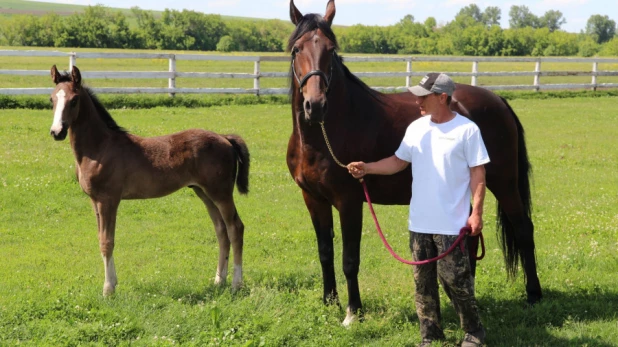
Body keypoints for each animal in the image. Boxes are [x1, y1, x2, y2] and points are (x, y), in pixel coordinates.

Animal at [49, 64, 249, 296]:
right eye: (52, 99)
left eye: (74, 100)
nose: (57, 132)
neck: (100, 148)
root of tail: (225, 138)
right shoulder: (95, 201)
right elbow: (101, 239)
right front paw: (112, 283)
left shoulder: (108, 200)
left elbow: (107, 241)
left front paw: (108, 290)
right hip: (204, 192)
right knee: (221, 230)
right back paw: (218, 280)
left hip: (221, 193)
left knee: (235, 228)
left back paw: (236, 283)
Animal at [284, 0, 540, 326]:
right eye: (296, 49)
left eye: (331, 49)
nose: (315, 106)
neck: (325, 134)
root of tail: (498, 100)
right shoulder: (313, 199)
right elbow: (325, 252)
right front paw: (329, 302)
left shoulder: (350, 201)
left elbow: (349, 259)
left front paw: (354, 312)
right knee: (468, 238)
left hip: (504, 182)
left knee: (523, 229)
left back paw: (533, 294)